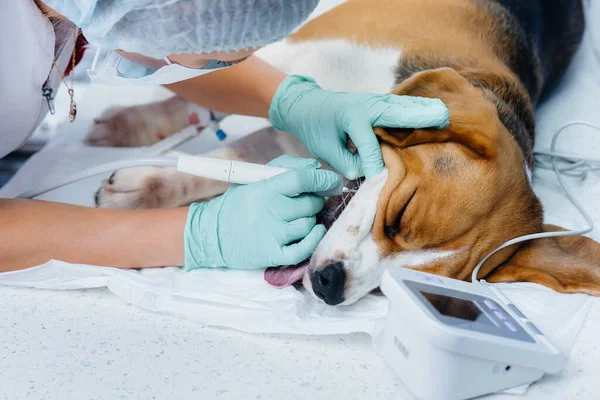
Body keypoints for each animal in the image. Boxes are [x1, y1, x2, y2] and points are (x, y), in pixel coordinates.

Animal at [94, 0, 600, 306]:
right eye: (400, 214)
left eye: (402, 288)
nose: (329, 287)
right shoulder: (289, 62)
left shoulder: (290, 134)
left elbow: (224, 163)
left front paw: (150, 191)